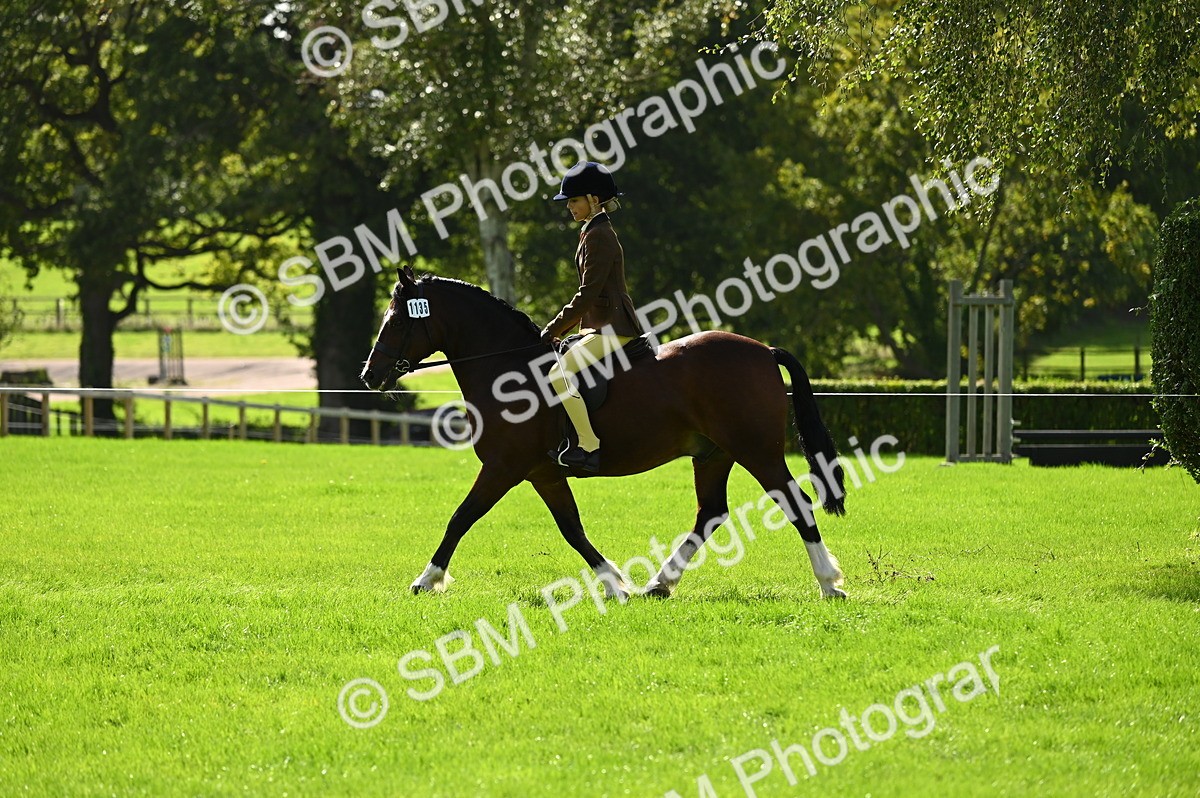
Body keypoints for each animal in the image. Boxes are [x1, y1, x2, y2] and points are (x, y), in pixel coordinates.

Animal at [360, 267, 848, 600]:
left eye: (398, 321)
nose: (369, 376)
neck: (508, 371)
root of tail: (764, 351)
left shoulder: (504, 466)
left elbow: (461, 517)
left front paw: (426, 580)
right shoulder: (542, 473)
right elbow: (571, 528)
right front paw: (616, 583)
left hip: (756, 450)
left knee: (795, 503)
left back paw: (830, 583)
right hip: (713, 454)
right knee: (710, 513)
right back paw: (658, 585)